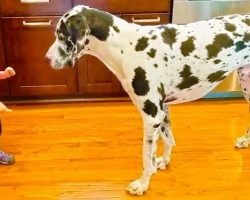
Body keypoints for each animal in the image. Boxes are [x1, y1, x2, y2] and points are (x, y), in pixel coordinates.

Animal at [46, 5, 250, 195]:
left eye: (61, 35)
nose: (46, 58)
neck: (126, 46)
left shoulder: (151, 117)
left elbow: (146, 156)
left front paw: (142, 184)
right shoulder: (162, 110)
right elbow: (168, 140)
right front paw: (164, 161)